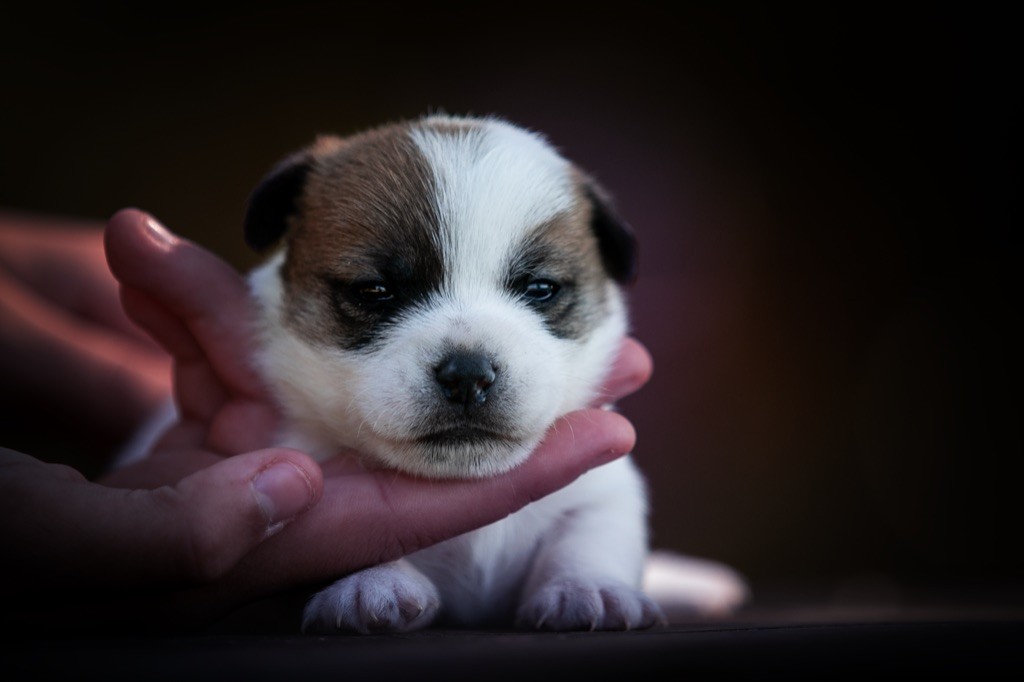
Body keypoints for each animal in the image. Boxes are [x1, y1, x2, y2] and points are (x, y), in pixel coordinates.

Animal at [246, 114, 659, 630]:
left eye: (541, 288)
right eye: (373, 290)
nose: (468, 375)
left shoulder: (603, 489)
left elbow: (590, 533)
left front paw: (588, 589)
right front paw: (372, 583)